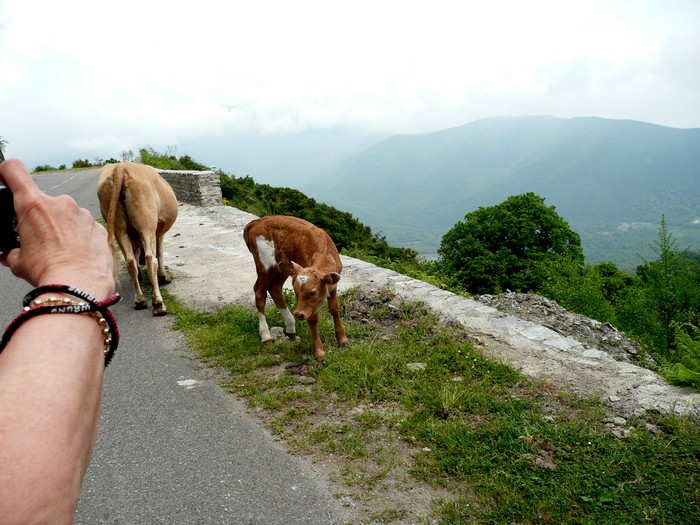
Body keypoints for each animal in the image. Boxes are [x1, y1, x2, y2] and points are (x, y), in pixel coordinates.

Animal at [95, 160, 178, 316]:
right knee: (151, 258)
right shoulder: (159, 232)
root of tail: (121, 167)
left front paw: (140, 274)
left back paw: (140, 300)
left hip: (119, 227)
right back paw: (158, 304)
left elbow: (135, 253)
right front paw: (163, 276)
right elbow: (160, 253)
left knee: (130, 260)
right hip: (146, 222)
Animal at [243, 215, 350, 358]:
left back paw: (290, 328)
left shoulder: (333, 286)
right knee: (260, 293)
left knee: (275, 288)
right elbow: (313, 318)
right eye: (296, 292)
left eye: (313, 292)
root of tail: (257, 222)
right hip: (264, 265)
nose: (298, 314)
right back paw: (266, 336)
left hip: (281, 267)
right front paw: (318, 351)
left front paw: (342, 339)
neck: (324, 255)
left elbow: (335, 309)